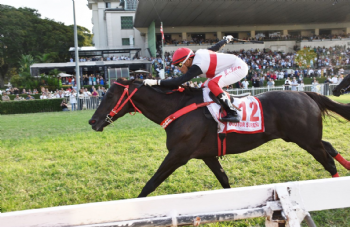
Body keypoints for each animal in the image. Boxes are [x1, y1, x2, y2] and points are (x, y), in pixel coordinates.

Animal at [89, 79, 350, 196]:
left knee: (328, 162)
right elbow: (224, 181)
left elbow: (150, 184)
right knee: (329, 147)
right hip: (307, 138)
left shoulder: (178, 154)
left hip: (307, 141)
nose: (92, 121)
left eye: (109, 95)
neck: (177, 108)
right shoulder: (207, 155)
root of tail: (305, 93)